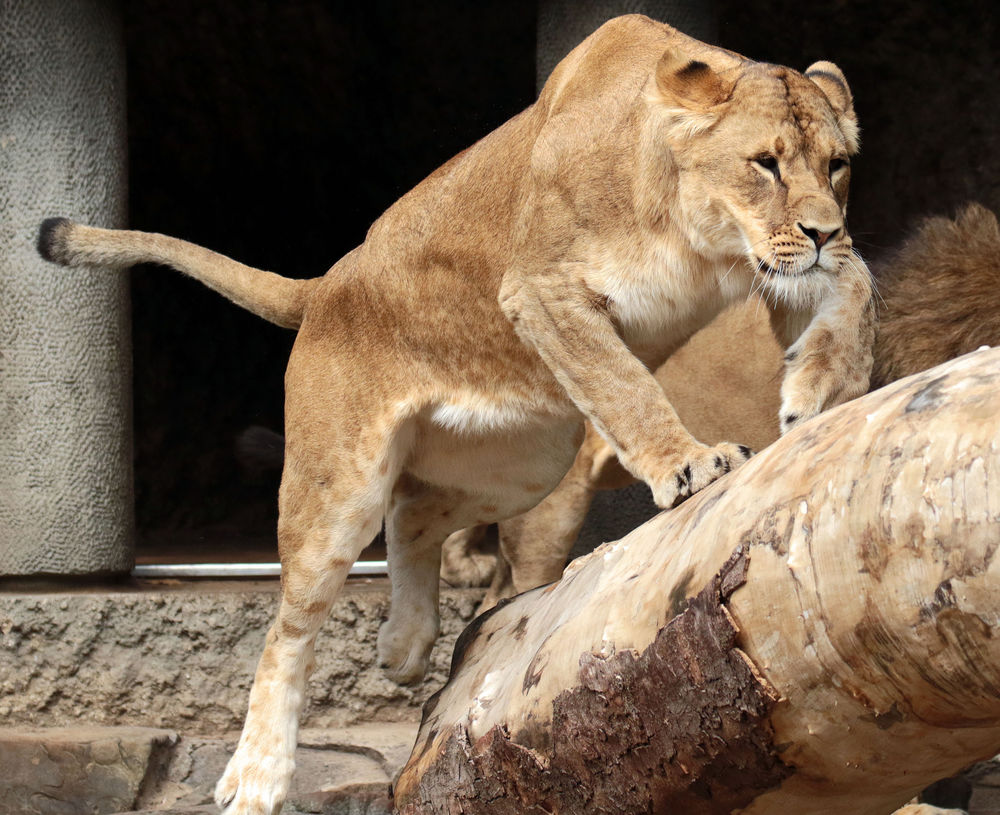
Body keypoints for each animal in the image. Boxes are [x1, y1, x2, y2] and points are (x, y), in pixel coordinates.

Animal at [37, 15, 872, 814]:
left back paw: (405, 643)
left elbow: (854, 287)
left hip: (527, 458)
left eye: (837, 165)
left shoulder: (780, 266)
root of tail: (328, 283)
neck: (699, 235)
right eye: (765, 163)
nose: (823, 228)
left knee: (412, 510)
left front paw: (825, 386)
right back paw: (258, 777)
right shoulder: (540, 288)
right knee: (289, 626)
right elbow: (627, 384)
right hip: (341, 484)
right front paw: (690, 462)